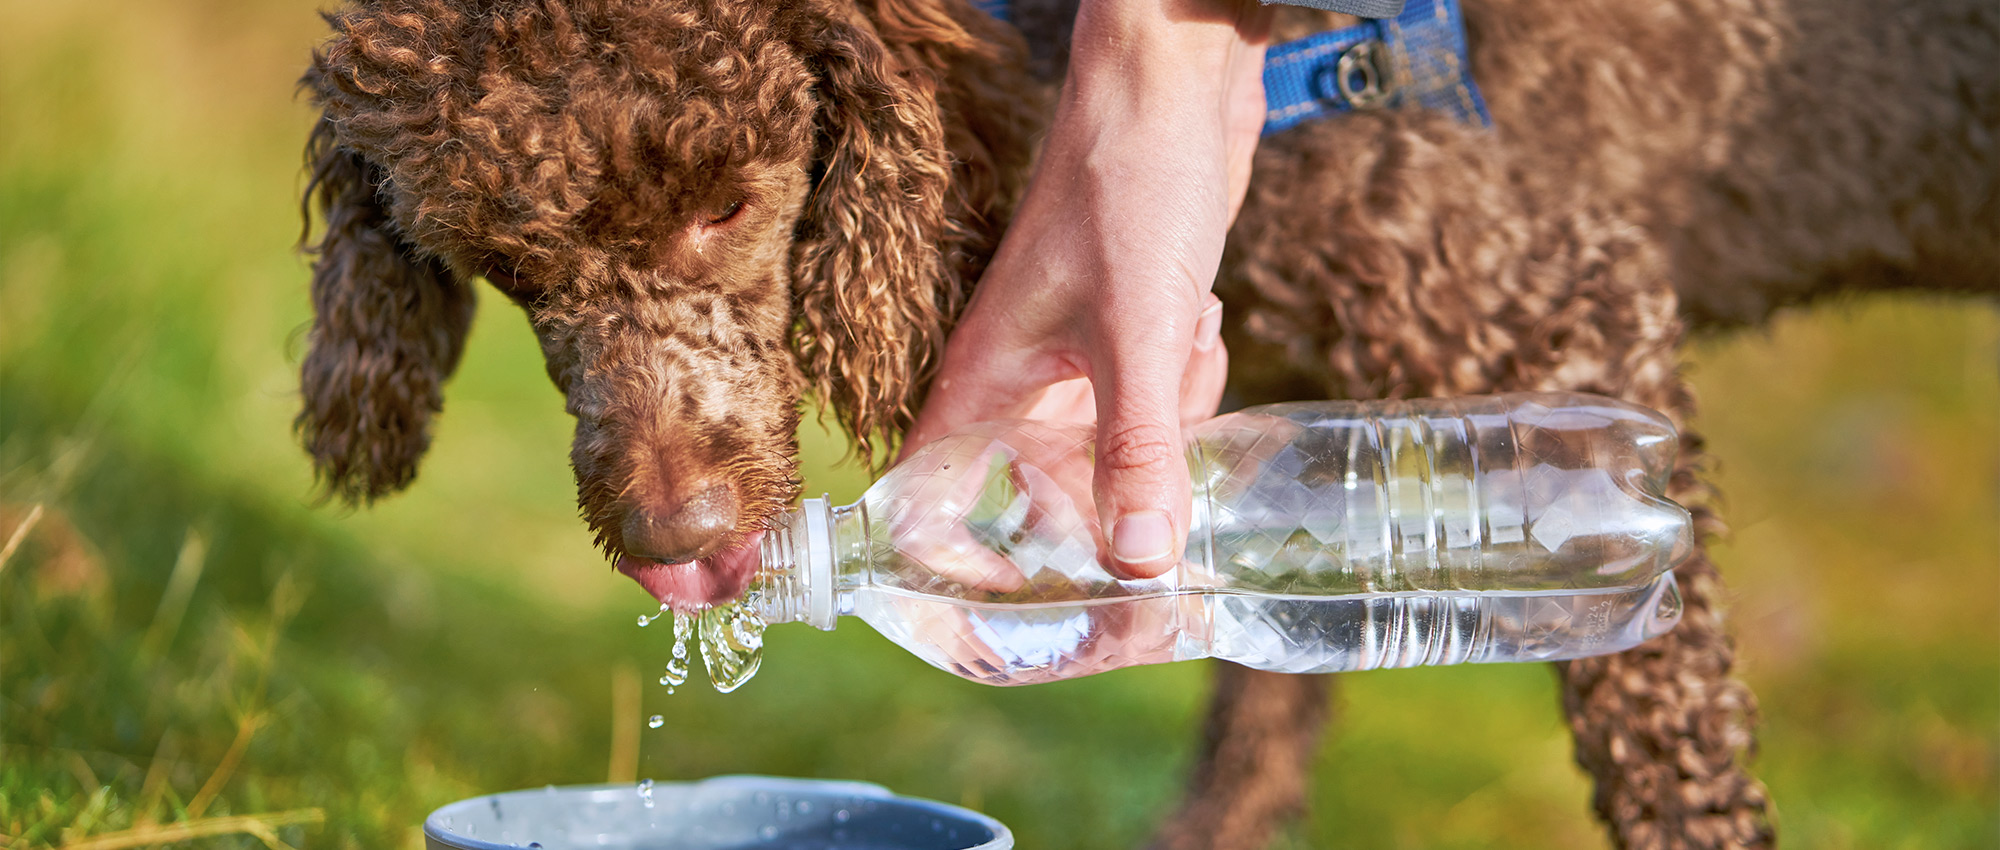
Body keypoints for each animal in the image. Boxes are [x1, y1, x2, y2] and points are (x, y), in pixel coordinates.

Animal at [296, 0, 2000, 840]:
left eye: (726, 201)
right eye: (502, 261)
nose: (674, 536)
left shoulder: (1550, 301)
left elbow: (1675, 763)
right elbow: (1254, 727)